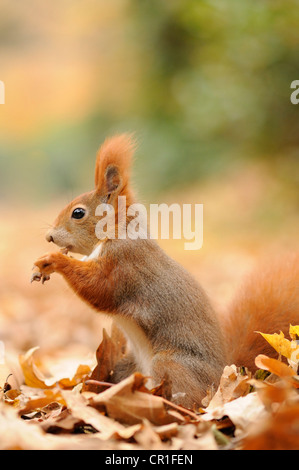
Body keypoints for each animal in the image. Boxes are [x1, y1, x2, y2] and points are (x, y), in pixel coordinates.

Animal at [32, 133, 299, 408]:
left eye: (78, 213)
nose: (49, 237)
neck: (116, 234)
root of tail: (224, 378)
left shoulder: (125, 264)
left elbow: (100, 288)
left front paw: (52, 260)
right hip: (128, 365)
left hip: (170, 364)